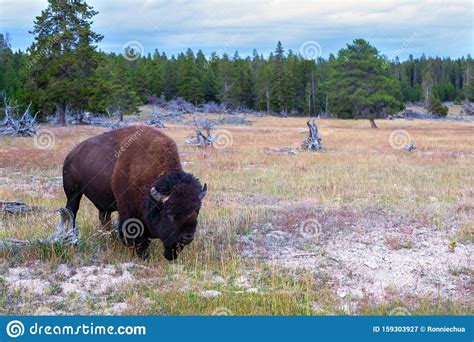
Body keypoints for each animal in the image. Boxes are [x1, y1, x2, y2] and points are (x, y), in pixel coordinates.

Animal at [61, 124, 206, 260]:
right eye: (169, 213)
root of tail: (71, 154)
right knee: (72, 212)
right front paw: (142, 255)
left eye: (196, 211)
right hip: (73, 193)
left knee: (104, 219)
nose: (187, 237)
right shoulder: (128, 211)